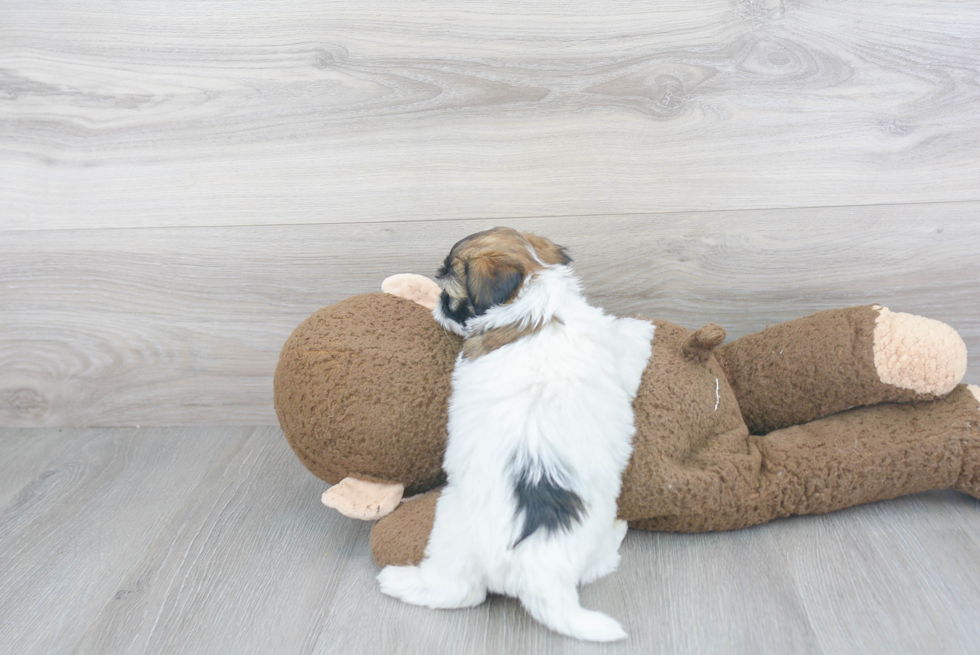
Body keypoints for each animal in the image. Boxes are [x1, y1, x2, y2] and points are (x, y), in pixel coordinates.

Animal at [378, 228, 656, 644]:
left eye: (449, 295)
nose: (437, 309)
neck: (533, 301)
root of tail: (535, 569)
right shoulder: (616, 364)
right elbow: (628, 346)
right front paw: (640, 326)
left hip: (453, 528)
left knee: (457, 590)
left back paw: (399, 582)